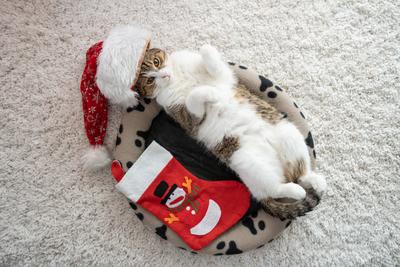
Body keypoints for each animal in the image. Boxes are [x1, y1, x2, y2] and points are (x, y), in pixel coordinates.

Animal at [136, 46, 326, 220]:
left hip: (288, 133)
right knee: (274, 189)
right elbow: (193, 97)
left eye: (156, 62)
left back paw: (316, 181)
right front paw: (211, 94)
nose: (163, 75)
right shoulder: (189, 118)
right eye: (150, 80)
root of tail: (284, 170)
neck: (177, 77)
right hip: (249, 163)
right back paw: (298, 191)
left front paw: (205, 50)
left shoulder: (224, 76)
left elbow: (213, 61)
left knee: (301, 173)